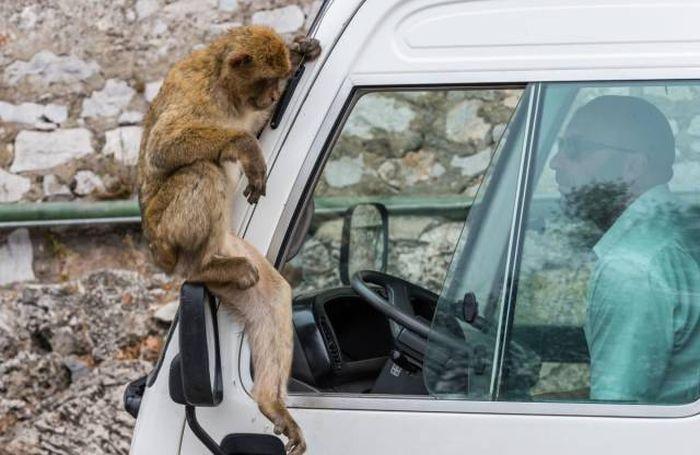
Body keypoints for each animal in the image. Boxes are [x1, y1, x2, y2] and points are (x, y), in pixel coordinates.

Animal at [136, 25, 320, 455]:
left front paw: (302, 48)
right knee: (203, 168)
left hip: (232, 248)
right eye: (266, 81)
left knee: (271, 293)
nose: (274, 94)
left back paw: (270, 402)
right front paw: (247, 148)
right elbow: (164, 148)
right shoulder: (195, 93)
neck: (222, 82)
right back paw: (198, 267)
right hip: (169, 234)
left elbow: (255, 122)